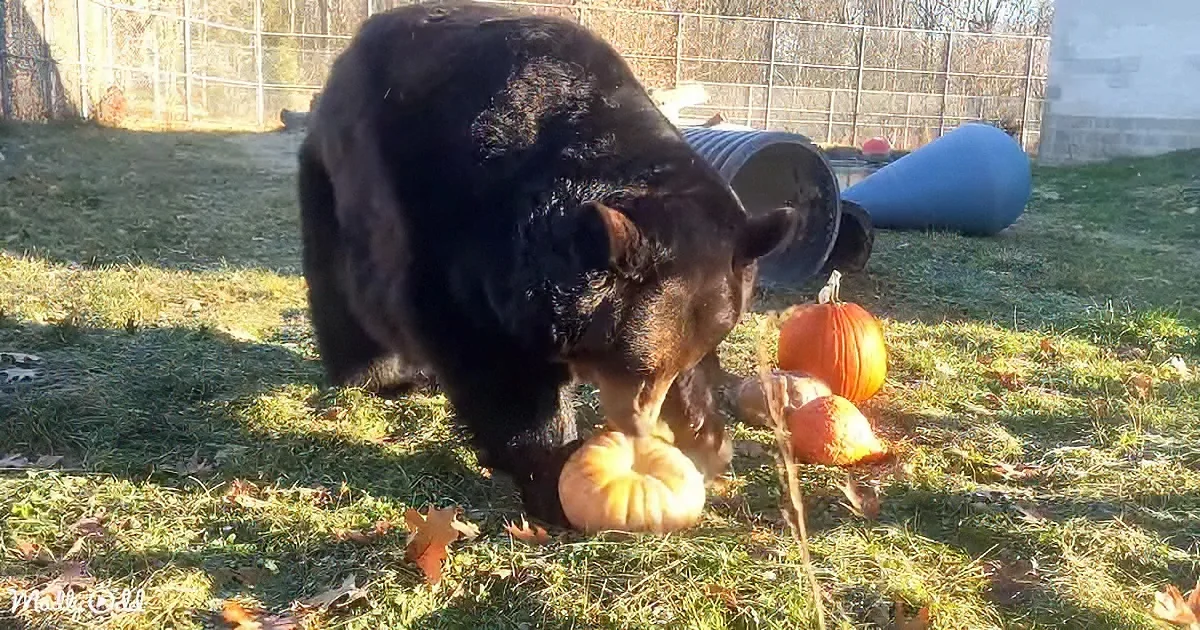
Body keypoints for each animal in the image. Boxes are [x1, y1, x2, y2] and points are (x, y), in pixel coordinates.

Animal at [297, 0, 803, 526]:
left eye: (664, 367)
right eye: (635, 364)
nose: (639, 429)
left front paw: (706, 436)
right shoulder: (457, 234)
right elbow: (490, 358)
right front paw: (552, 472)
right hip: (339, 181)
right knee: (343, 290)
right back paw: (380, 375)